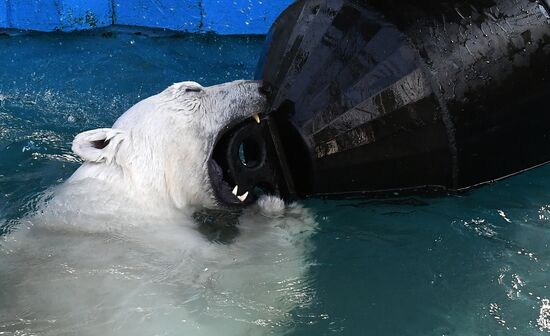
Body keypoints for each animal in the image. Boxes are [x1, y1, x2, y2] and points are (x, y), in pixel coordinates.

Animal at [0, 80, 320, 336]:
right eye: (191, 89)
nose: (263, 86)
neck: (130, 198)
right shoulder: (152, 261)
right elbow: (239, 287)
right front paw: (278, 214)